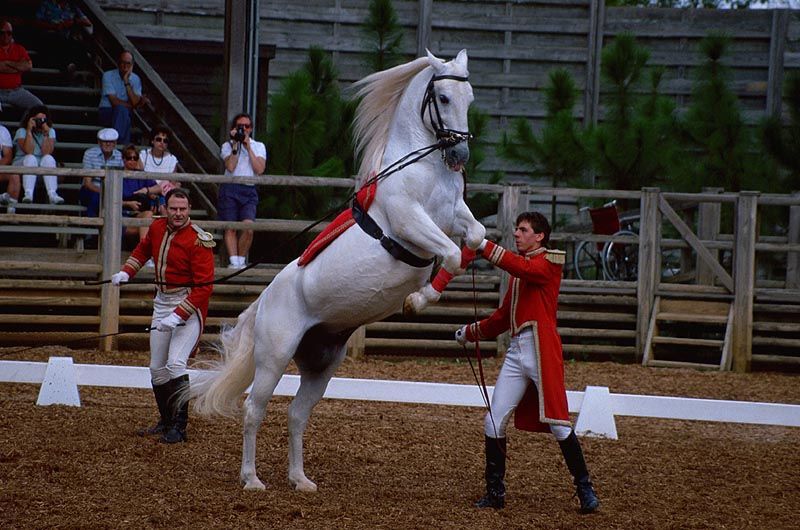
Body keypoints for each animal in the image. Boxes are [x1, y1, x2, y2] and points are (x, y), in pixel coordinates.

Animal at [191, 50, 484, 490]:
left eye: (470, 99)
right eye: (444, 98)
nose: (459, 157)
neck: (421, 169)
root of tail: (263, 302)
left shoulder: (454, 217)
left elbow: (476, 237)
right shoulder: (411, 222)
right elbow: (449, 253)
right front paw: (418, 300)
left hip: (321, 366)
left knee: (297, 414)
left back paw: (300, 480)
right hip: (273, 358)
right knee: (253, 410)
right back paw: (252, 479)